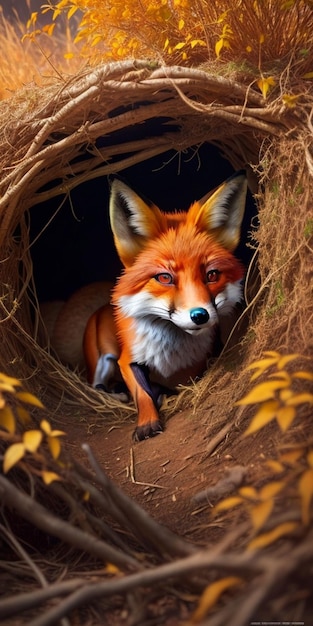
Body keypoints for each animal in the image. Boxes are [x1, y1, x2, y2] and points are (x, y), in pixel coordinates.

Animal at [81, 171, 247, 438]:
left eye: (211, 275)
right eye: (165, 278)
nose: (200, 315)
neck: (171, 353)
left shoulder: (198, 367)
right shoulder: (127, 359)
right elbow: (143, 393)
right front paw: (147, 422)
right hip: (100, 362)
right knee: (98, 385)